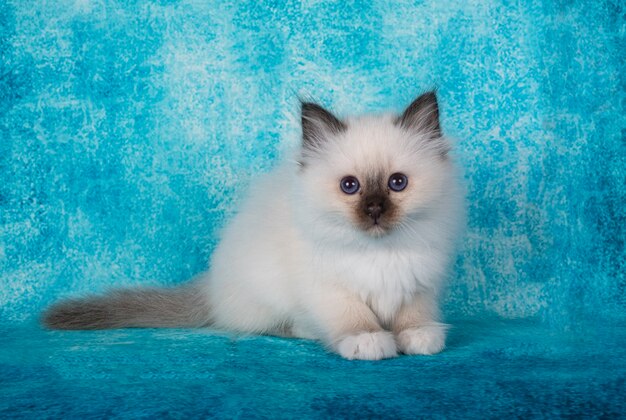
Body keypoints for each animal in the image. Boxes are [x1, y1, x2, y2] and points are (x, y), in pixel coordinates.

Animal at [42, 92, 464, 360]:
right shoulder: (328, 289)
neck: (379, 252)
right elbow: (353, 319)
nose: (375, 210)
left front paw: (420, 338)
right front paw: (371, 342)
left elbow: (414, 316)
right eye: (350, 186)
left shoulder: (418, 282)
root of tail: (210, 288)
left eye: (397, 183)